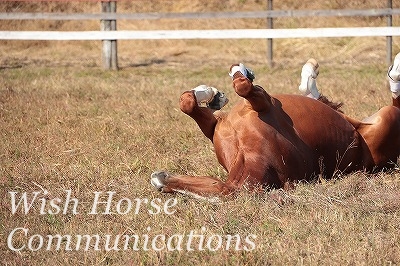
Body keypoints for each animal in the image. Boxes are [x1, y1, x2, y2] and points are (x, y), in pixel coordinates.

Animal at [150, 54, 400, 200]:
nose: (159, 178)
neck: (249, 154)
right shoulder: (220, 123)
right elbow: (189, 101)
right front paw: (214, 94)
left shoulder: (261, 102)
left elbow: (238, 86)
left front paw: (216, 92)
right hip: (383, 118)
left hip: (385, 118)